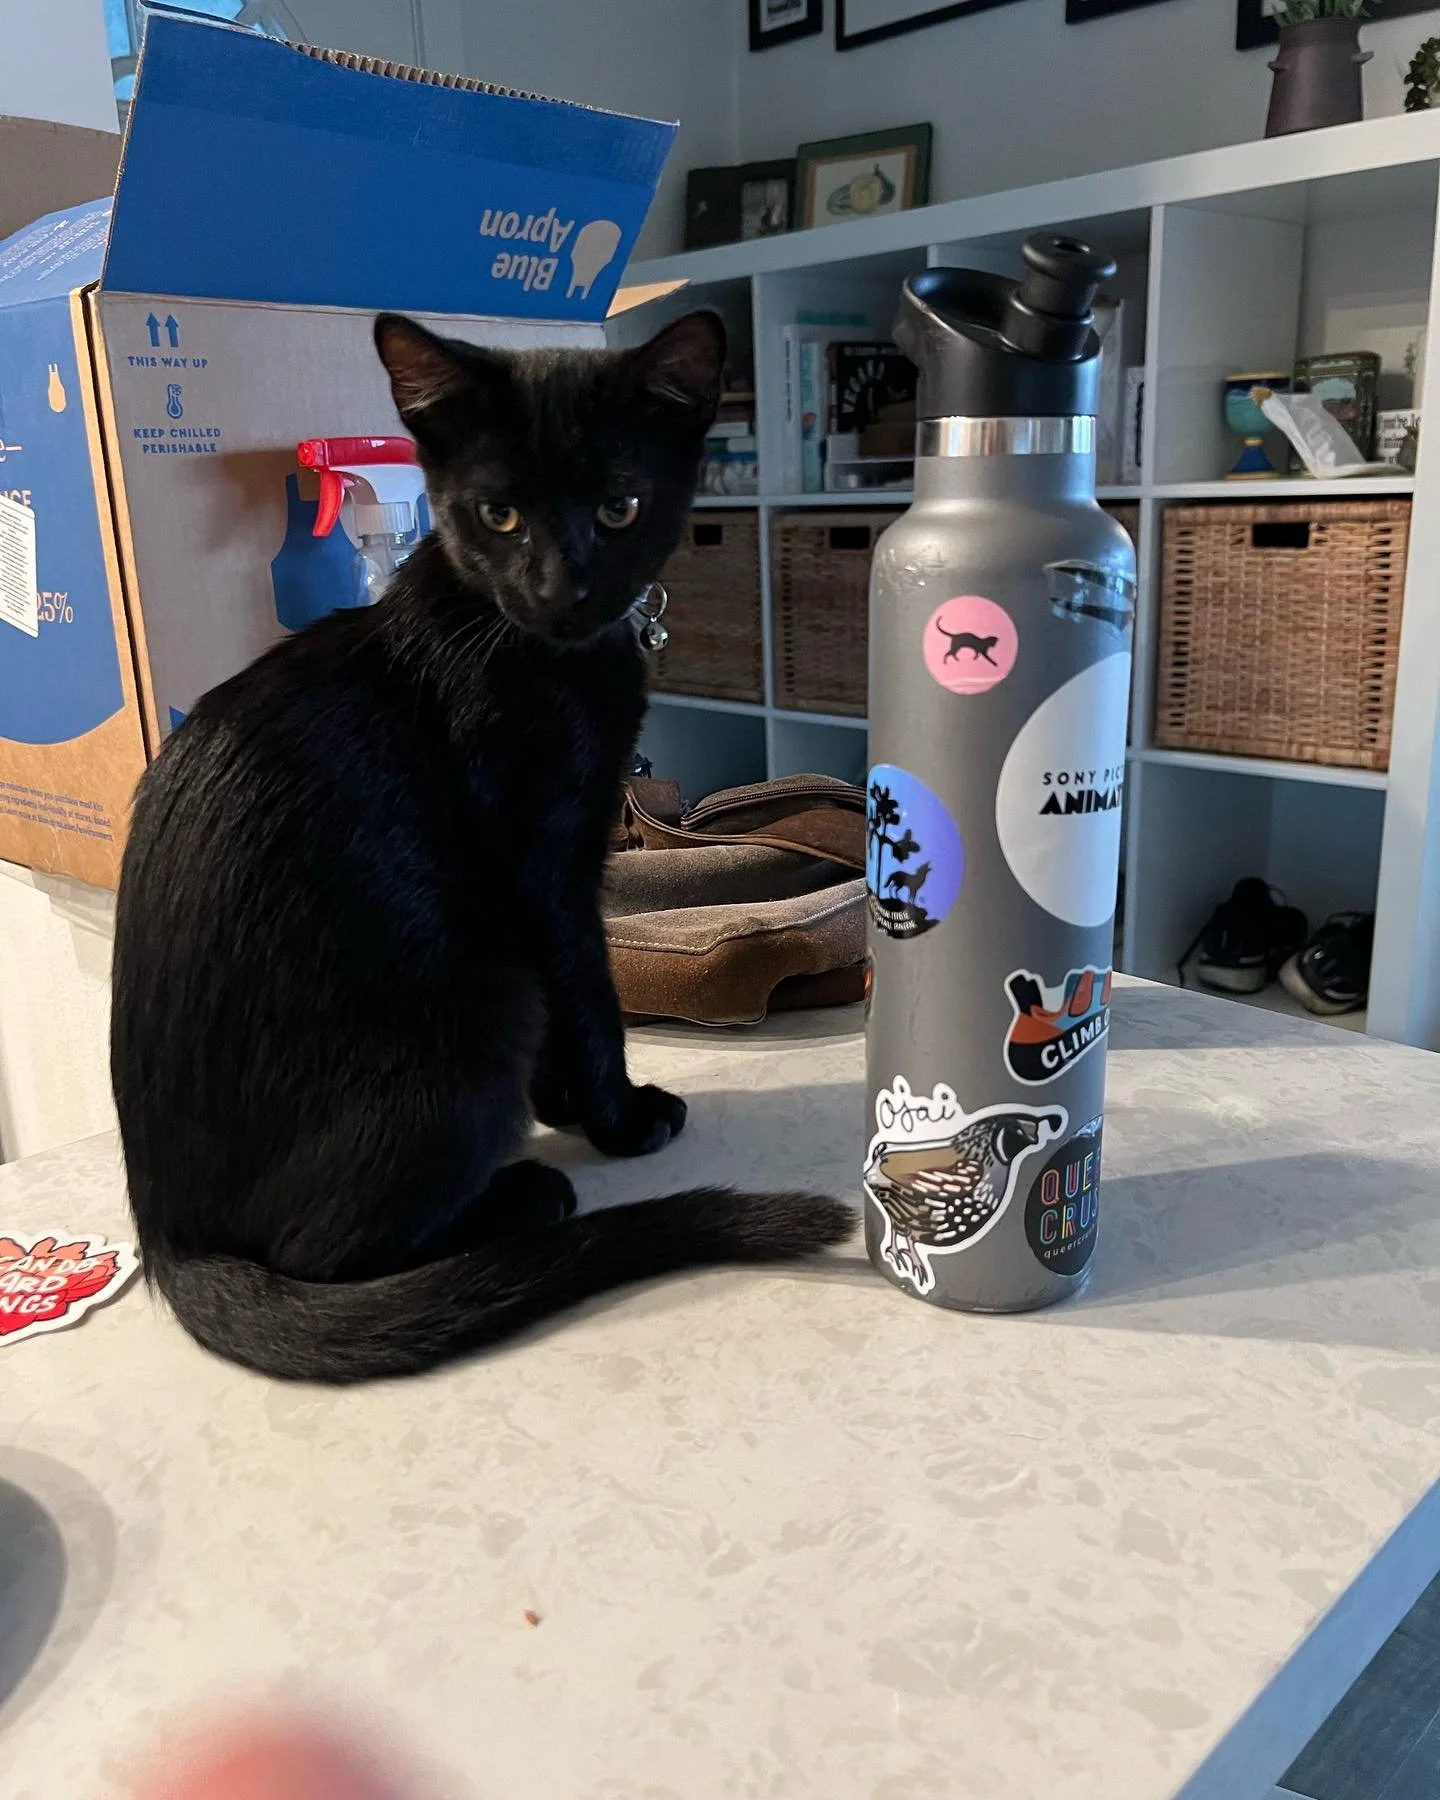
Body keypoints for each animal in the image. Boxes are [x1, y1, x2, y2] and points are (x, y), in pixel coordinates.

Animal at [110, 310, 851, 1385]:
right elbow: (590, 994)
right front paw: (620, 1118)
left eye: (620, 506)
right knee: (320, 1248)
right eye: (499, 516)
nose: (562, 587)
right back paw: (523, 1196)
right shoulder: (548, 869)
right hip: (486, 999)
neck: (518, 638)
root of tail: (170, 1240)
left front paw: (570, 1104)